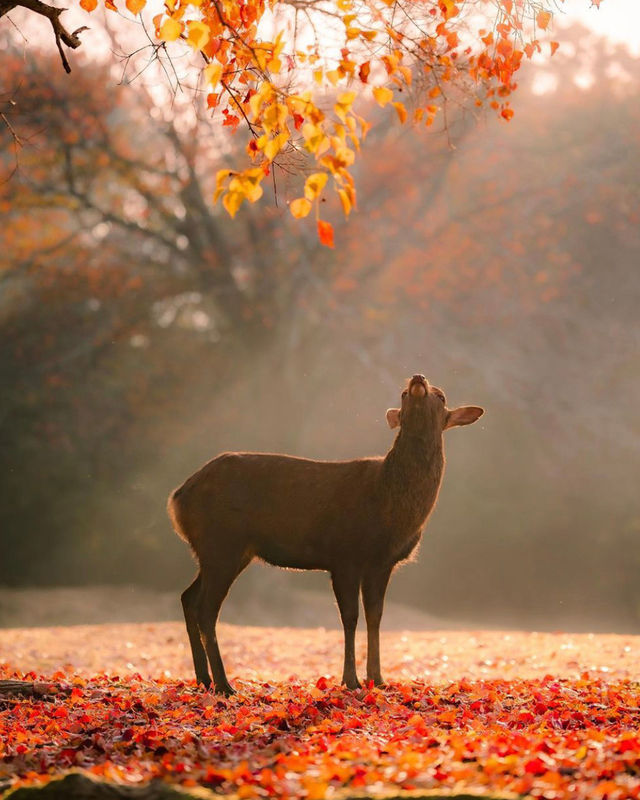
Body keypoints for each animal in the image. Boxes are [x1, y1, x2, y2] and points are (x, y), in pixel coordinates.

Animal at [168, 376, 482, 692]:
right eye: (404, 394)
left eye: (441, 396)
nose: (417, 379)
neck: (390, 507)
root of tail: (177, 498)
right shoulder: (345, 555)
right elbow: (350, 617)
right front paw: (350, 680)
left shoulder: (381, 564)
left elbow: (375, 616)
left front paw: (378, 678)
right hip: (222, 542)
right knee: (206, 609)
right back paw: (223, 684)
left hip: (224, 551)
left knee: (188, 598)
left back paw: (204, 678)